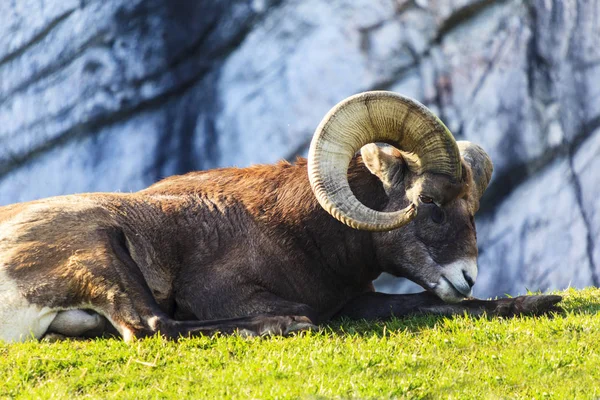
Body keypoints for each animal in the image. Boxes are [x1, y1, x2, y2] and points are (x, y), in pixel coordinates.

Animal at [1, 92, 564, 342]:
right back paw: (284, 325)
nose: (466, 276)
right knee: (150, 326)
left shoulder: (361, 302)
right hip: (101, 245)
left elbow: (437, 306)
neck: (300, 235)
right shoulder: (222, 293)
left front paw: (539, 303)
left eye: (472, 209)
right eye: (428, 202)